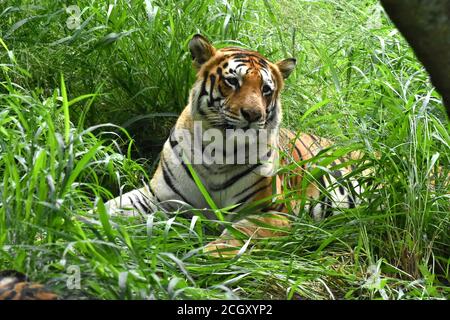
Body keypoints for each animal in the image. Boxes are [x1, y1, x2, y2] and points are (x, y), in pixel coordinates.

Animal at [107, 33, 364, 256]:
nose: (253, 114)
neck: (218, 152)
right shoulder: (157, 197)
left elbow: (237, 236)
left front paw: (199, 259)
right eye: (232, 81)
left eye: (266, 89)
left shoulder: (274, 213)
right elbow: (112, 206)